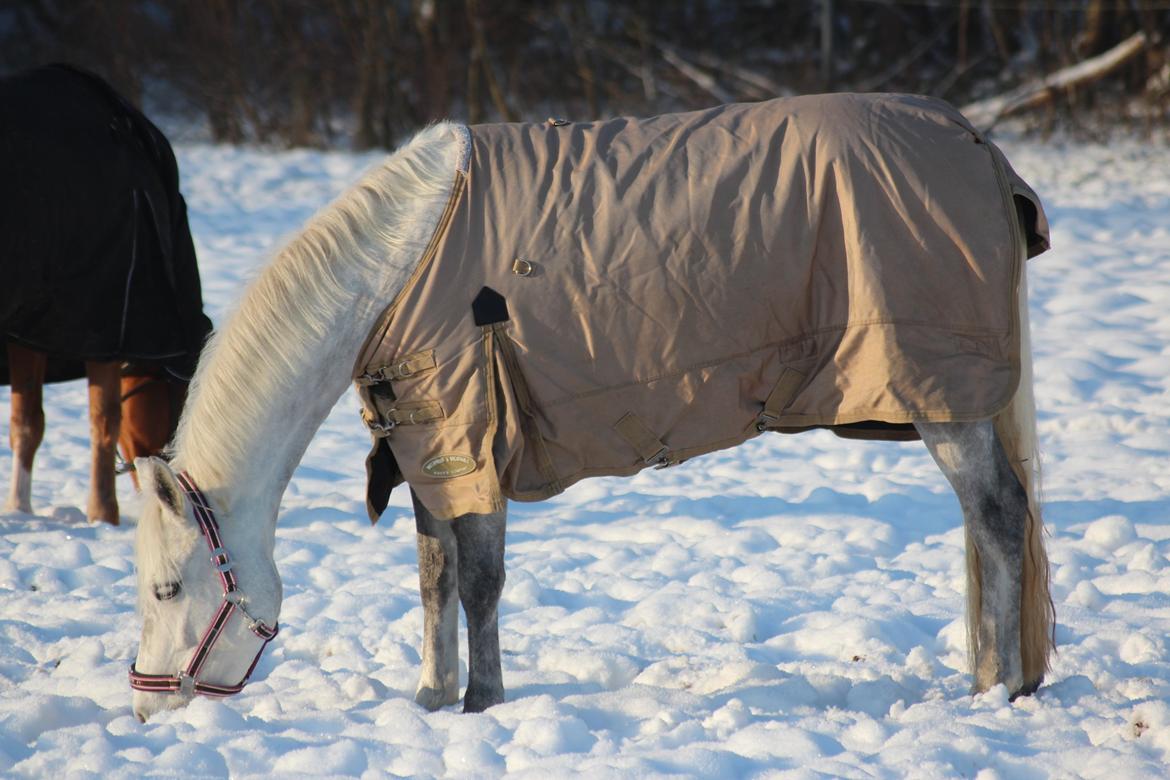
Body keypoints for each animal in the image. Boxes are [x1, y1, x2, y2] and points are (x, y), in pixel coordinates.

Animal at [132, 94, 1057, 725]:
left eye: (168, 588)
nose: (146, 708)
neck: (398, 268)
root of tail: (977, 145)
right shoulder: (426, 450)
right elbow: (434, 580)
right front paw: (431, 698)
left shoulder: (469, 440)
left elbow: (479, 582)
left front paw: (482, 702)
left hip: (944, 398)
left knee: (998, 515)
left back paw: (1003, 688)